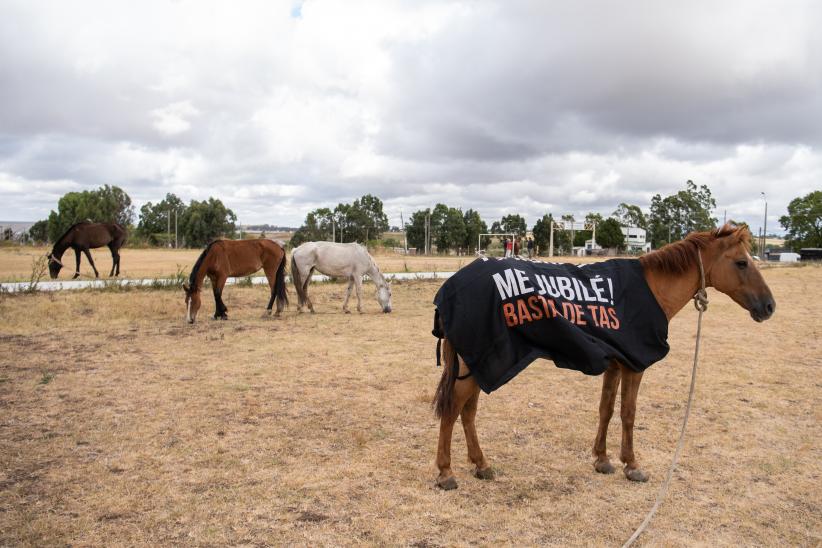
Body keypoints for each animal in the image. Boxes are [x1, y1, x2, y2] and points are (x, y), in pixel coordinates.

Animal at [434, 225, 776, 490]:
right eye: (742, 263)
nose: (769, 306)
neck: (651, 289)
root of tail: (452, 286)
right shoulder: (635, 366)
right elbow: (628, 413)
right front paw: (632, 465)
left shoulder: (615, 364)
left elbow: (606, 409)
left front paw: (602, 459)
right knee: (453, 410)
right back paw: (446, 472)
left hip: (479, 366)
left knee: (468, 412)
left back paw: (481, 465)